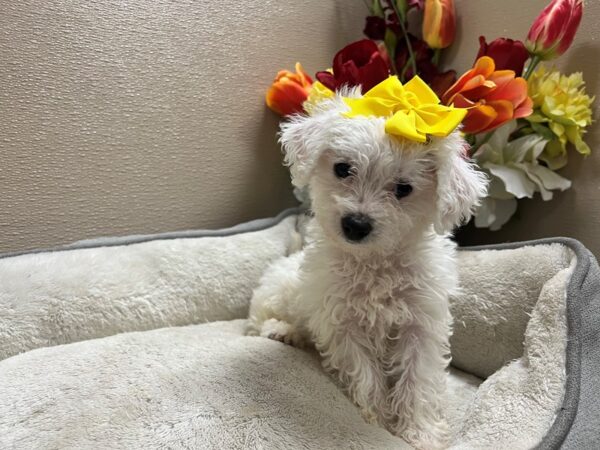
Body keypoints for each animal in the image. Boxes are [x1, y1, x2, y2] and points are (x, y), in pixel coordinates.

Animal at [246, 89, 486, 448]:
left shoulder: (421, 322)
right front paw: (378, 422)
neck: (373, 261)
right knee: (256, 323)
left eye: (403, 189)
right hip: (277, 292)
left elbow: (418, 377)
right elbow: (364, 374)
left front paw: (420, 432)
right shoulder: (341, 322)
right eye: (343, 168)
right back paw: (282, 331)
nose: (356, 224)